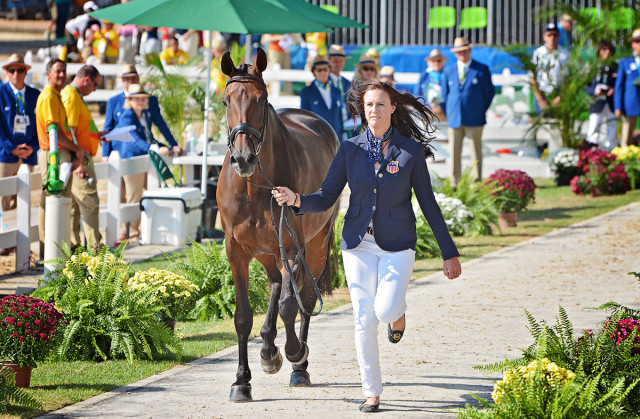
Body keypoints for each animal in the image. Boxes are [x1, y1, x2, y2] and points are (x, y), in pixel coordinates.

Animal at [218, 47, 340, 402]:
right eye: (226, 100)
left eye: (261, 100)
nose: (243, 159)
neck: (254, 187)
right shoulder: (236, 252)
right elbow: (243, 316)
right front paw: (241, 381)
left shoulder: (293, 248)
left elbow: (290, 305)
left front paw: (295, 352)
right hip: (268, 252)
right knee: (275, 284)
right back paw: (268, 349)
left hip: (314, 245)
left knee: (305, 300)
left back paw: (298, 365)